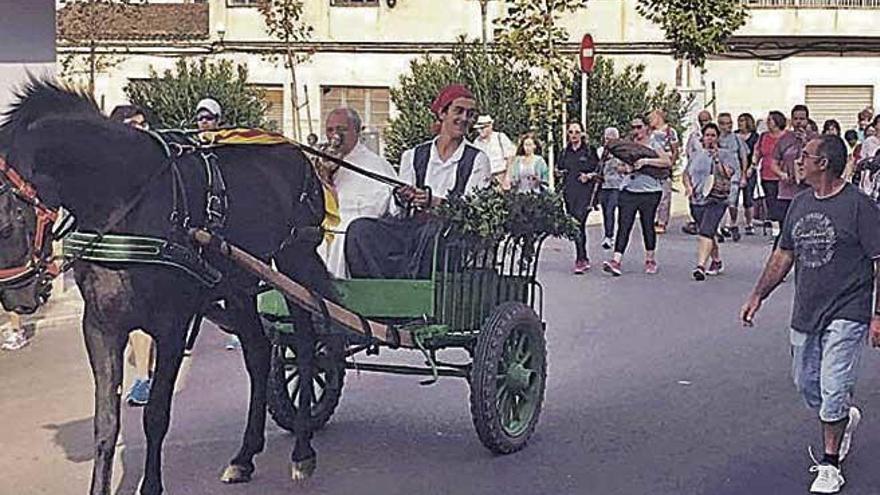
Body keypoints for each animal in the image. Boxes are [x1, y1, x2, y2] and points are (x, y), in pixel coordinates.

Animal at [0, 79, 334, 494]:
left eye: (7, 222)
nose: (17, 295)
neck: (125, 207)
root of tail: (297, 152)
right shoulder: (100, 326)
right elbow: (106, 423)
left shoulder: (172, 325)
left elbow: (157, 415)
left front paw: (152, 484)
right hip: (238, 285)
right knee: (258, 354)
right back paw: (244, 456)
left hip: (295, 263)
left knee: (305, 345)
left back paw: (303, 449)